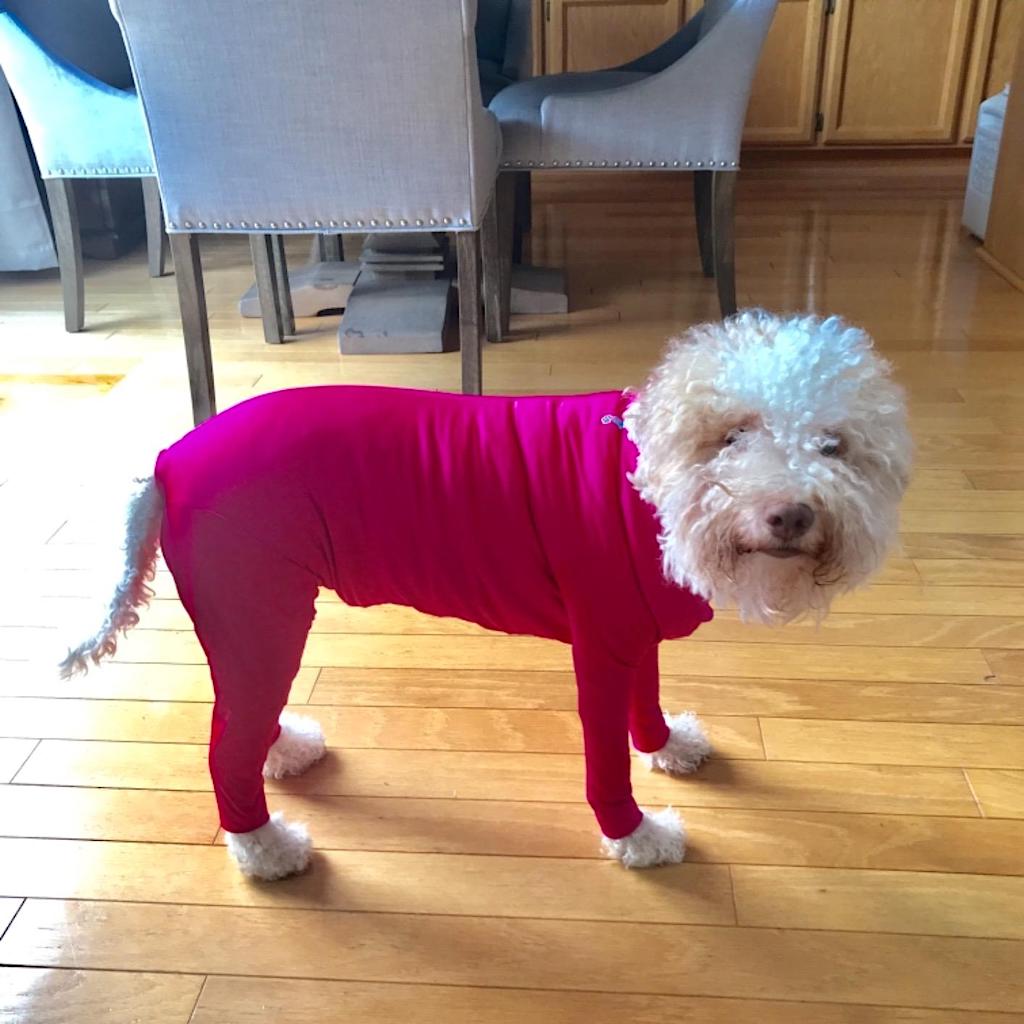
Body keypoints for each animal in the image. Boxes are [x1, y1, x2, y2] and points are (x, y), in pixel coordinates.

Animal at [61, 311, 913, 880]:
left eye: (834, 446)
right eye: (731, 434)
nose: (791, 513)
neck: (644, 485)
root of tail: (170, 459)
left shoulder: (635, 636)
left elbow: (647, 705)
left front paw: (666, 744)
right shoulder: (601, 646)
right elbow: (606, 762)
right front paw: (635, 837)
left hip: (249, 625)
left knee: (239, 724)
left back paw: (283, 753)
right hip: (262, 615)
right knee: (222, 753)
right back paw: (267, 848)